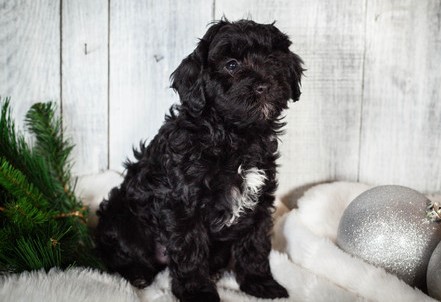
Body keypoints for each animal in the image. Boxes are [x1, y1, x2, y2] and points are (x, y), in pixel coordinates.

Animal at [95, 19, 302, 302]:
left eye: (272, 60)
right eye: (231, 65)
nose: (263, 85)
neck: (235, 136)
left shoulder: (259, 200)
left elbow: (255, 244)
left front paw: (261, 284)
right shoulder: (182, 205)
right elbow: (190, 251)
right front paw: (198, 293)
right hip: (122, 217)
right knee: (123, 254)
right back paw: (137, 273)